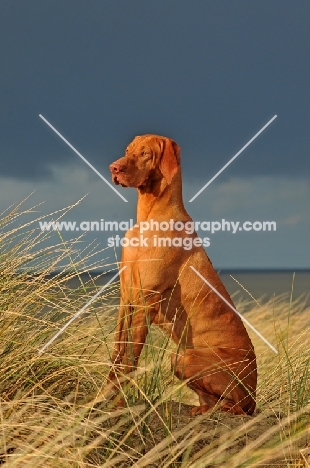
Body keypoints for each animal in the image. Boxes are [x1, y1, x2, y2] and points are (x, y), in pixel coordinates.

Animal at [107, 135, 256, 416]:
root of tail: (254, 395)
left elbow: (130, 359)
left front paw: (120, 403)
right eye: (128, 150)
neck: (148, 218)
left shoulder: (146, 300)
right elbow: (117, 353)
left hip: (184, 356)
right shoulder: (126, 299)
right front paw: (104, 397)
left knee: (238, 406)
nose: (114, 168)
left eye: (145, 153)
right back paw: (202, 408)